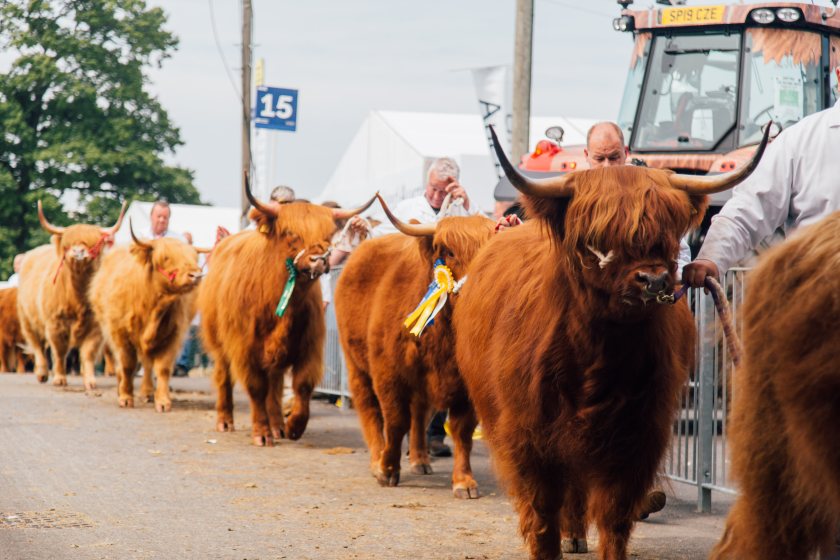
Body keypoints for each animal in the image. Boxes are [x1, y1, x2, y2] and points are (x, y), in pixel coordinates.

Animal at [16, 201, 126, 390]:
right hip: (27, 320)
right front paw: (59, 378)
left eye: (92, 242)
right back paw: (42, 373)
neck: (77, 295)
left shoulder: (95, 327)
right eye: (68, 242)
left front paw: (90, 380)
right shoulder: (55, 323)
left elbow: (88, 352)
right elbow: (59, 352)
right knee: (38, 346)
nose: (78, 252)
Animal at [199, 175, 376, 446]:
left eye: (328, 235)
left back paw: (277, 426)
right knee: (223, 376)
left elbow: (301, 385)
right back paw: (225, 421)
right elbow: (256, 388)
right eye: (290, 233)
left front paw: (293, 426)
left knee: (275, 382)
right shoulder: (244, 347)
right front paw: (261, 433)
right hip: (218, 341)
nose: (319, 260)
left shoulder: (309, 345)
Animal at [334, 195, 492, 496]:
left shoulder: (466, 385)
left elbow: (462, 430)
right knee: (370, 410)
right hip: (355, 364)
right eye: (449, 252)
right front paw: (387, 469)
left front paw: (464, 481)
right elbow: (395, 422)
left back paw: (420, 459)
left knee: (419, 413)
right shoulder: (388, 375)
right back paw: (376, 458)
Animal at [452, 127, 768, 560]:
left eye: (667, 237)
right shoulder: (529, 435)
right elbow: (542, 512)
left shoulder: (638, 433)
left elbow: (615, 514)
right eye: (597, 238)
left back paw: (577, 534)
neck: (597, 352)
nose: (653, 280)